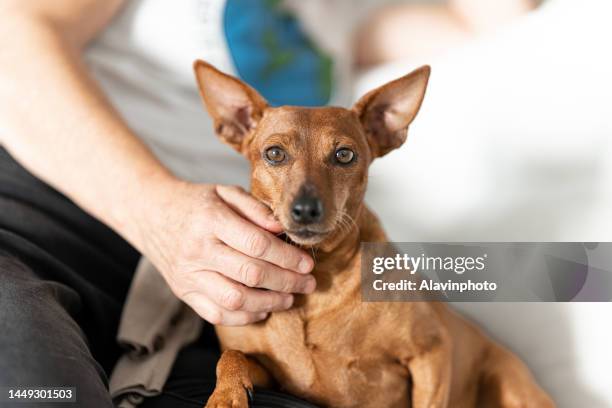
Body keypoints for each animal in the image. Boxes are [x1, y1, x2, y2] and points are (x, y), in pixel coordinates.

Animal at [192, 60, 556, 408]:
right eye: (274, 154)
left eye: (344, 155)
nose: (306, 209)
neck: (318, 280)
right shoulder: (273, 374)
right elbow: (230, 356)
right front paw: (226, 396)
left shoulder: (431, 353)